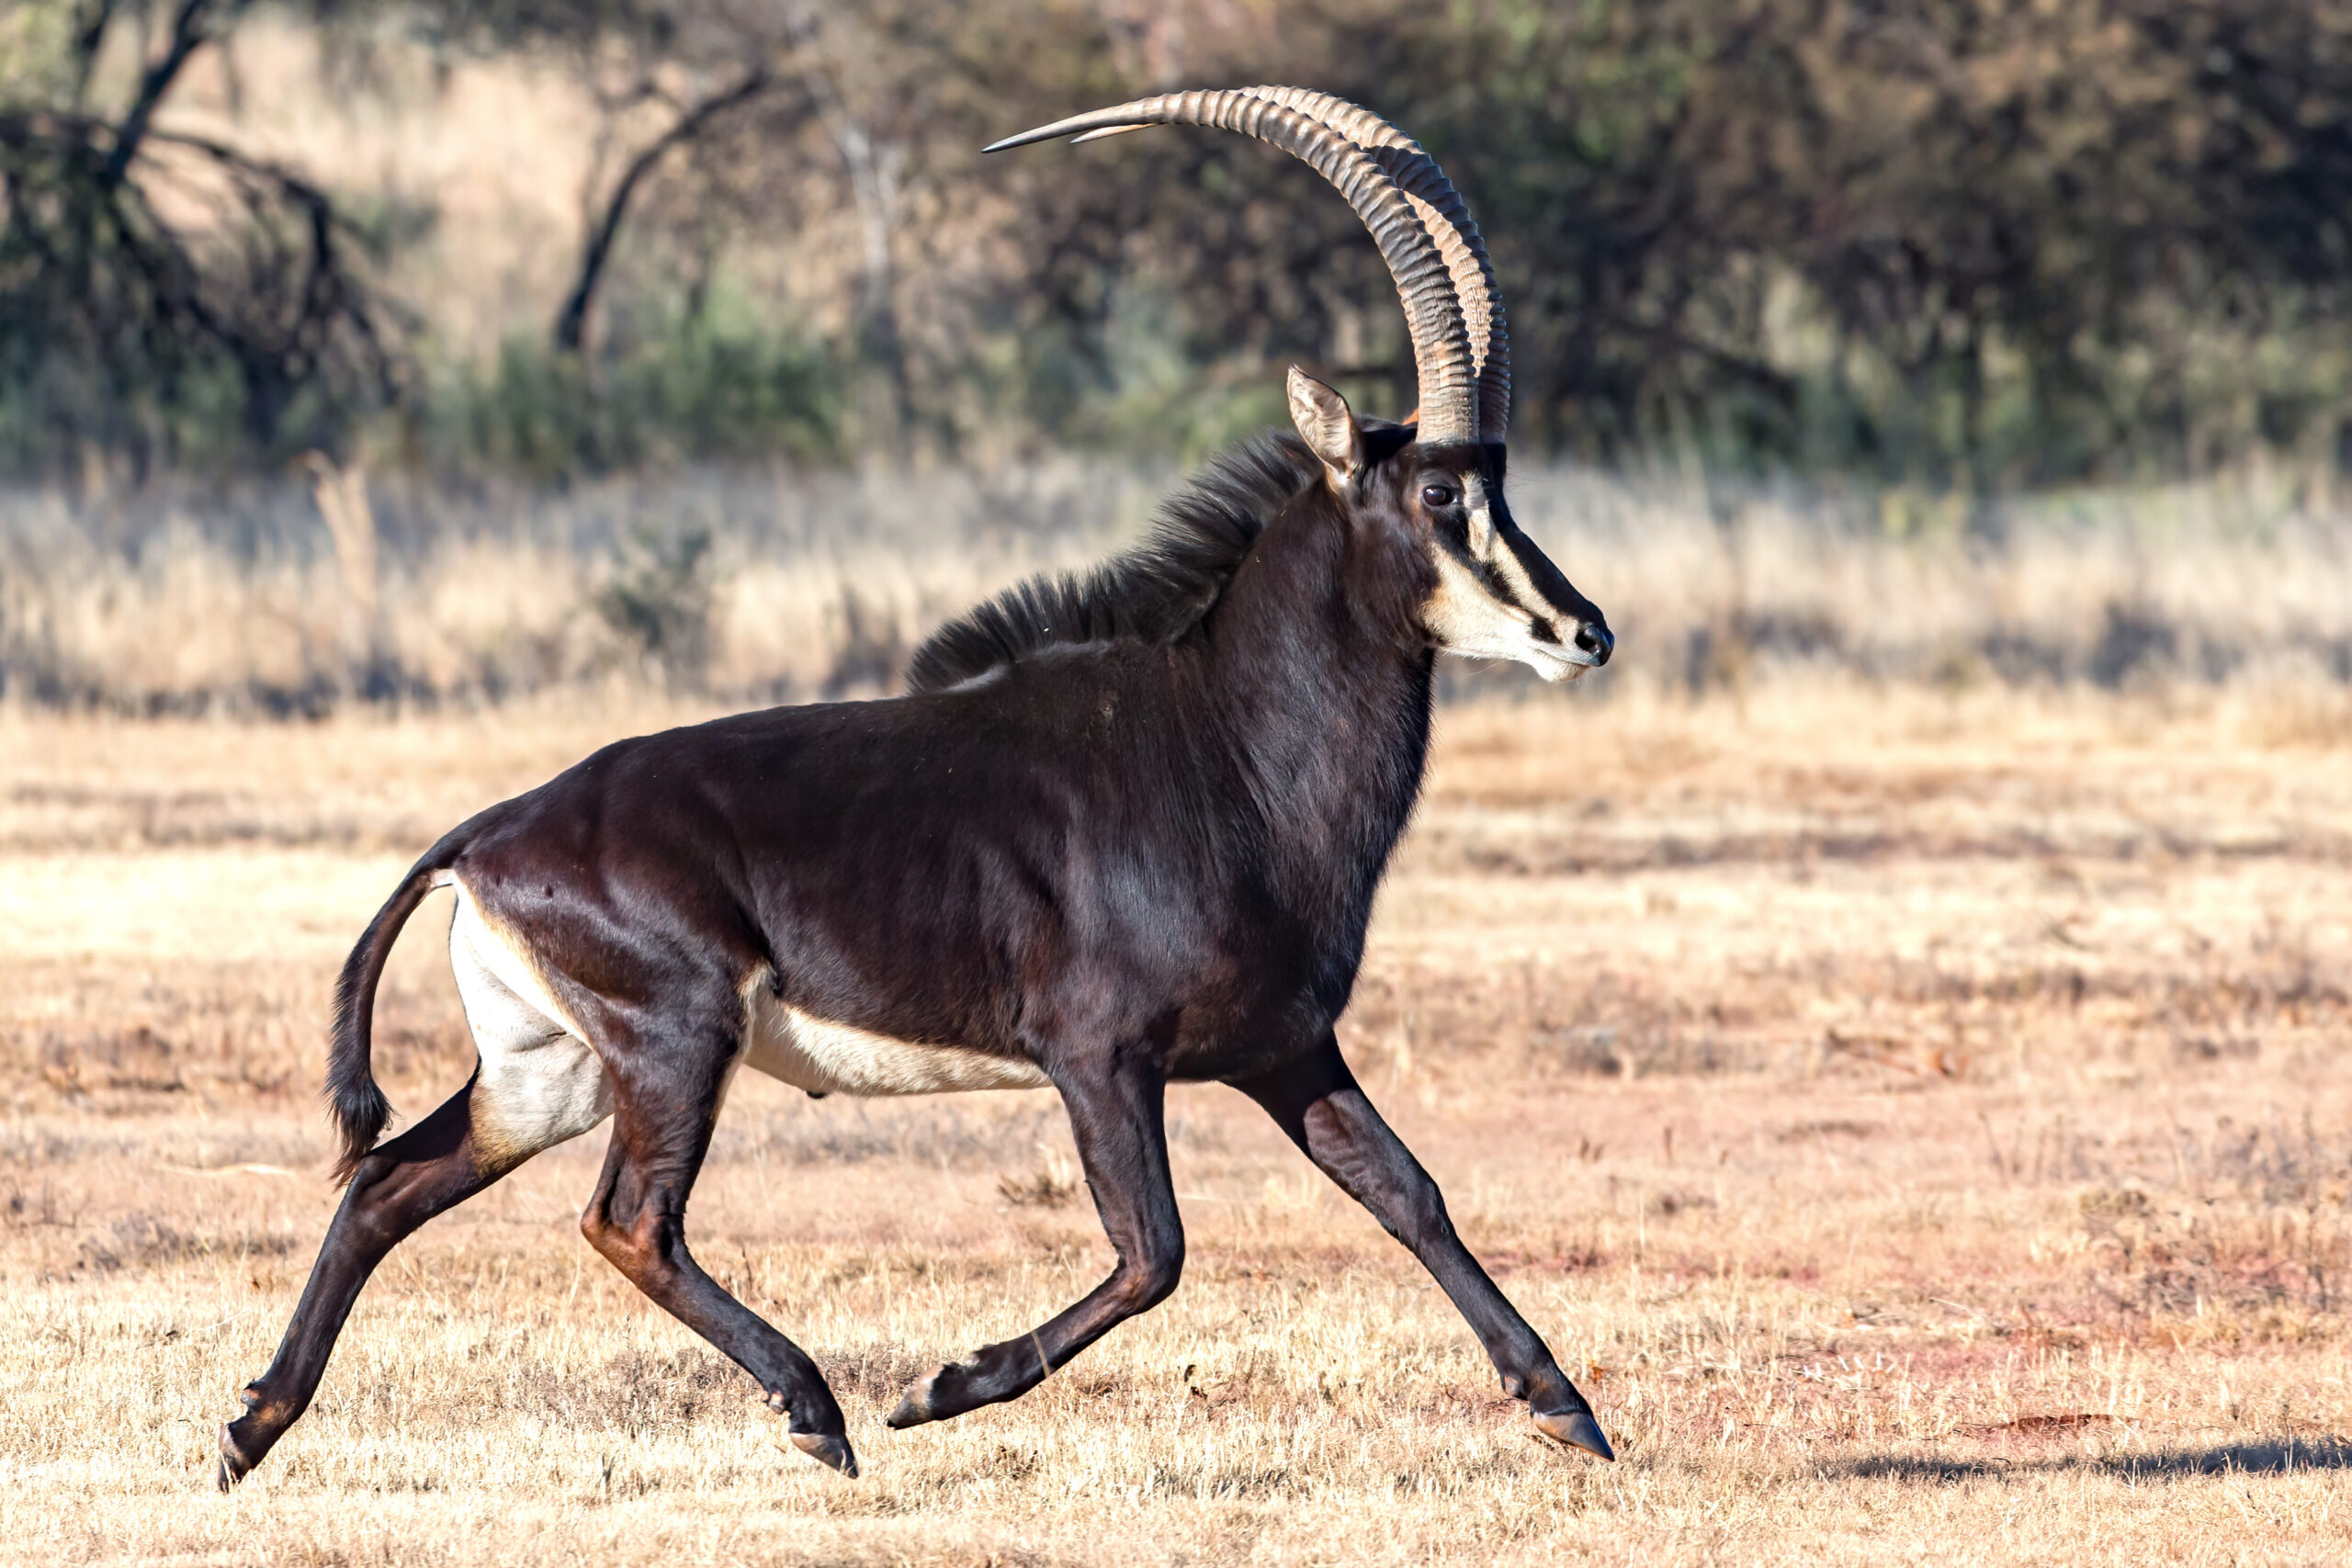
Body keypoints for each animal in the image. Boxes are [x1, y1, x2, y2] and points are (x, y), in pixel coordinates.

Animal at [216, 86, 1617, 1490]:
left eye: (1501, 486)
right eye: (1437, 490)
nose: (1584, 631)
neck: (1224, 744)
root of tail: (483, 836)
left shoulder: (1286, 1046)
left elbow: (1410, 1192)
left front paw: (1567, 1405)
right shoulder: (1098, 1056)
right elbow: (1154, 1254)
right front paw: (942, 1386)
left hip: (549, 1071)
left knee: (386, 1184)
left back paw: (251, 1425)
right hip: (674, 1039)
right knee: (627, 1221)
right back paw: (818, 1406)